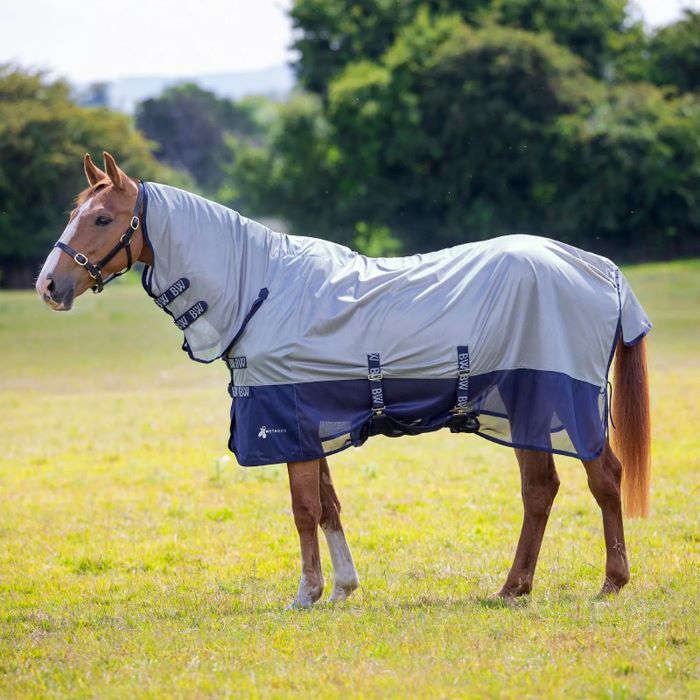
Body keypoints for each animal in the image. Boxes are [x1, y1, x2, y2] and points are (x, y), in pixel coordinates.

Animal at [36, 152, 651, 607]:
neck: (261, 290)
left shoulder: (288, 423)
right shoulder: (311, 425)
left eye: (102, 218)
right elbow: (329, 504)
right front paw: (342, 589)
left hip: (559, 399)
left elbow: (304, 508)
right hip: (525, 408)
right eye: (75, 213)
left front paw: (306, 594)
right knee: (541, 490)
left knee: (603, 479)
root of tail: (599, 269)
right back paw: (514, 588)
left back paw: (610, 582)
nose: (48, 286)